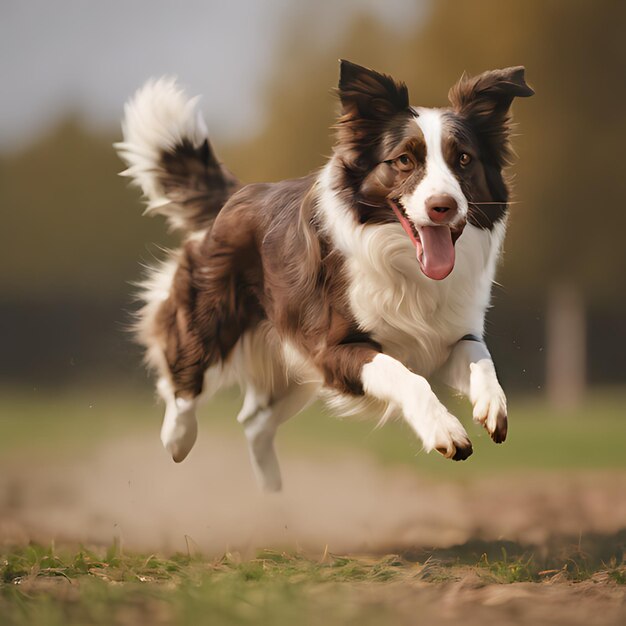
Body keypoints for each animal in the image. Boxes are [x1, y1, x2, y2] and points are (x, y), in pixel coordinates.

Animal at [116, 59, 532, 488]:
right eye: (404, 160)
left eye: (463, 159)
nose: (442, 206)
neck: (405, 265)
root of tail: (237, 195)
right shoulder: (333, 348)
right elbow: (406, 376)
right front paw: (444, 430)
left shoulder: (447, 336)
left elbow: (482, 358)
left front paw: (492, 405)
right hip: (213, 316)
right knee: (183, 377)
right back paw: (177, 438)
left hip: (293, 366)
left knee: (253, 421)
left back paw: (273, 493)